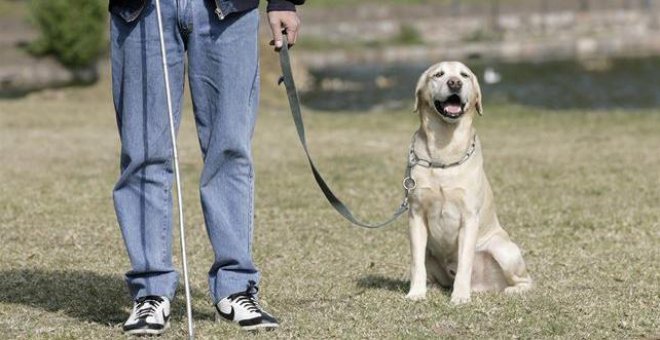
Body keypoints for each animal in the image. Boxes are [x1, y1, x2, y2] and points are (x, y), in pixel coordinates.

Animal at [404, 62, 532, 304]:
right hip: (431, 252)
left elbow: (465, 262)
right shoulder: (416, 215)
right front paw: (415, 293)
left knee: (527, 280)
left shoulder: (469, 217)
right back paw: (432, 287)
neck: (444, 150)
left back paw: (511, 290)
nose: (454, 83)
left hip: (504, 250)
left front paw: (460, 297)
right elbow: (416, 262)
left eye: (464, 75)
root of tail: (485, 286)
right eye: (439, 74)